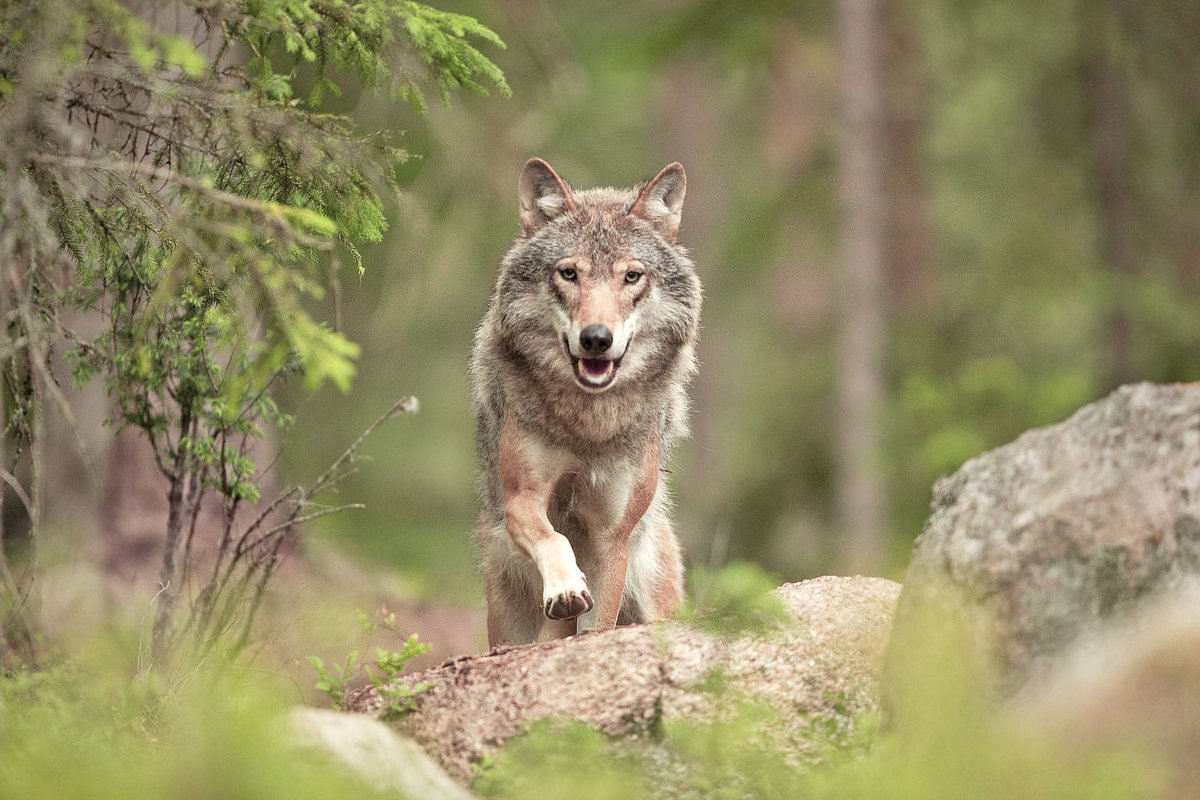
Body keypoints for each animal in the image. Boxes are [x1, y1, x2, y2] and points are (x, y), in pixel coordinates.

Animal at [470, 158, 703, 646]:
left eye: (631, 276)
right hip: (506, 616)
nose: (597, 338)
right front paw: (565, 587)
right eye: (569, 273)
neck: (589, 424)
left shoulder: (612, 536)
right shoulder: (523, 498)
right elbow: (553, 539)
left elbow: (600, 624)